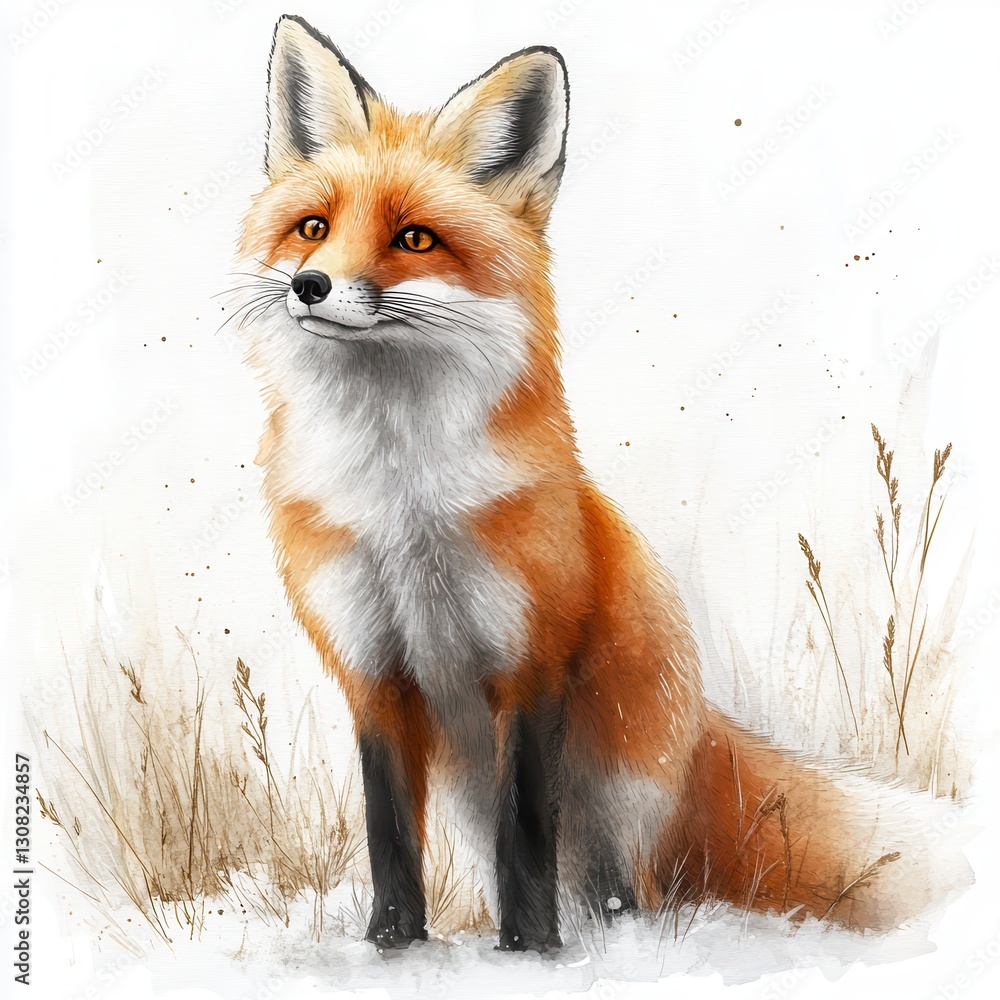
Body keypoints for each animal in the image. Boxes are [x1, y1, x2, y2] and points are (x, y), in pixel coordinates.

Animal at [236, 15, 966, 952]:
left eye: (415, 239)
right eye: (312, 226)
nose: (311, 284)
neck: (402, 508)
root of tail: (699, 724)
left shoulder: (531, 660)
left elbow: (525, 831)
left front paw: (530, 951)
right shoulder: (372, 672)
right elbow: (389, 833)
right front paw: (393, 945)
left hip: (619, 799)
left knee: (630, 890)